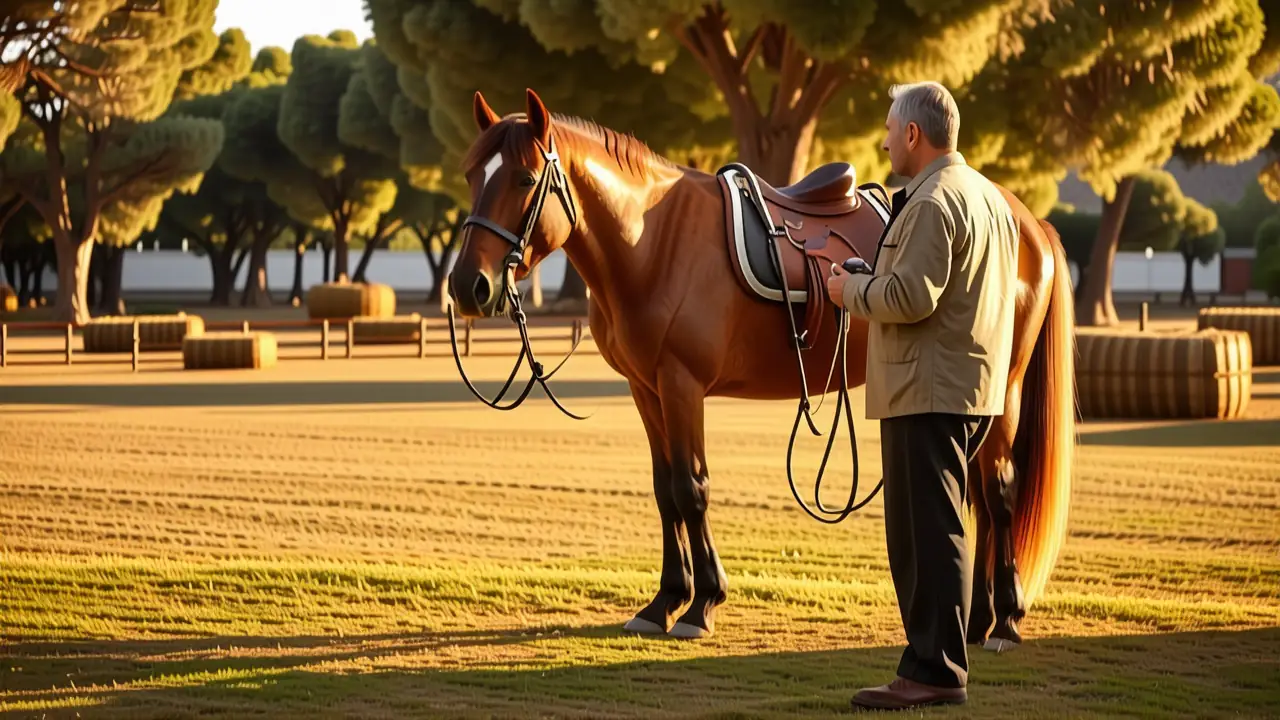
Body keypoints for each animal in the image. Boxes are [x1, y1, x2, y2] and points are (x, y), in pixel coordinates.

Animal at [445, 87, 1076, 650]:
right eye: (472, 176)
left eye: (524, 179)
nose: (467, 286)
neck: (652, 239)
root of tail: (1026, 220)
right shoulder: (646, 389)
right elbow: (665, 490)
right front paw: (663, 602)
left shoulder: (682, 385)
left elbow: (691, 487)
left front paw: (701, 604)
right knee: (981, 497)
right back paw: (978, 620)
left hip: (1003, 389)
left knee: (998, 492)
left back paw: (1004, 621)